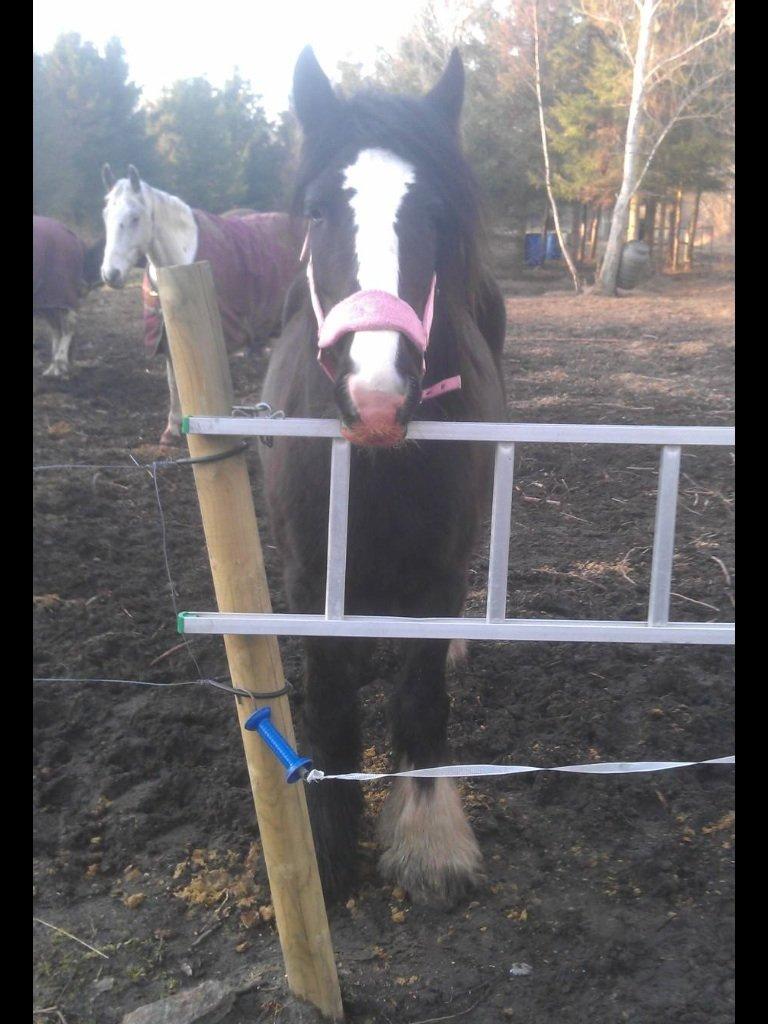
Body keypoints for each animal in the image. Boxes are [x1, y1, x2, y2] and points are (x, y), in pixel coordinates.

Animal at [262, 46, 507, 905]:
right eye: (315, 212)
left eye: (433, 214)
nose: (376, 395)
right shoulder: (309, 576)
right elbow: (332, 708)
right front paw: (327, 849)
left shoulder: (440, 573)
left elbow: (420, 699)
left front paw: (429, 840)